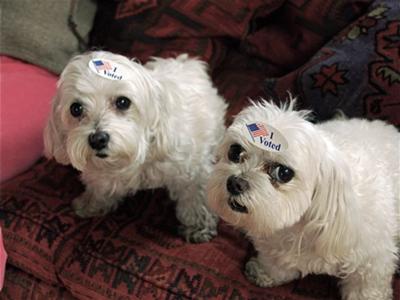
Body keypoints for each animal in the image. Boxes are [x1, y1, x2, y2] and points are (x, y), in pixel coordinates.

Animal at [44, 51, 227, 244]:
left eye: (123, 102)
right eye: (76, 108)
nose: (97, 139)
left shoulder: (193, 172)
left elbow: (195, 199)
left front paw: (199, 227)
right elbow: (101, 189)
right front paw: (90, 204)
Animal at [208, 99, 398, 298]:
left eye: (283, 173)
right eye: (235, 151)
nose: (235, 183)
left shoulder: (373, 260)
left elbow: (366, 287)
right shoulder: (275, 244)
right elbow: (275, 262)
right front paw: (265, 273)